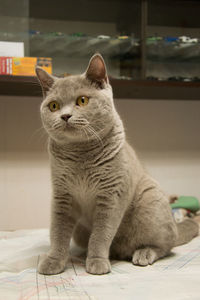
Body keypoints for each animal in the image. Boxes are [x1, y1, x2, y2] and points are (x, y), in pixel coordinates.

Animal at [36, 53, 198, 274]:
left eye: (82, 100)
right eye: (53, 106)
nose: (65, 116)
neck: (81, 155)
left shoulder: (112, 195)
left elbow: (101, 233)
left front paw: (97, 262)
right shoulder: (62, 196)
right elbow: (58, 233)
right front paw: (53, 262)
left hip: (151, 199)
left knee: (165, 246)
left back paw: (143, 253)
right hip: (80, 231)